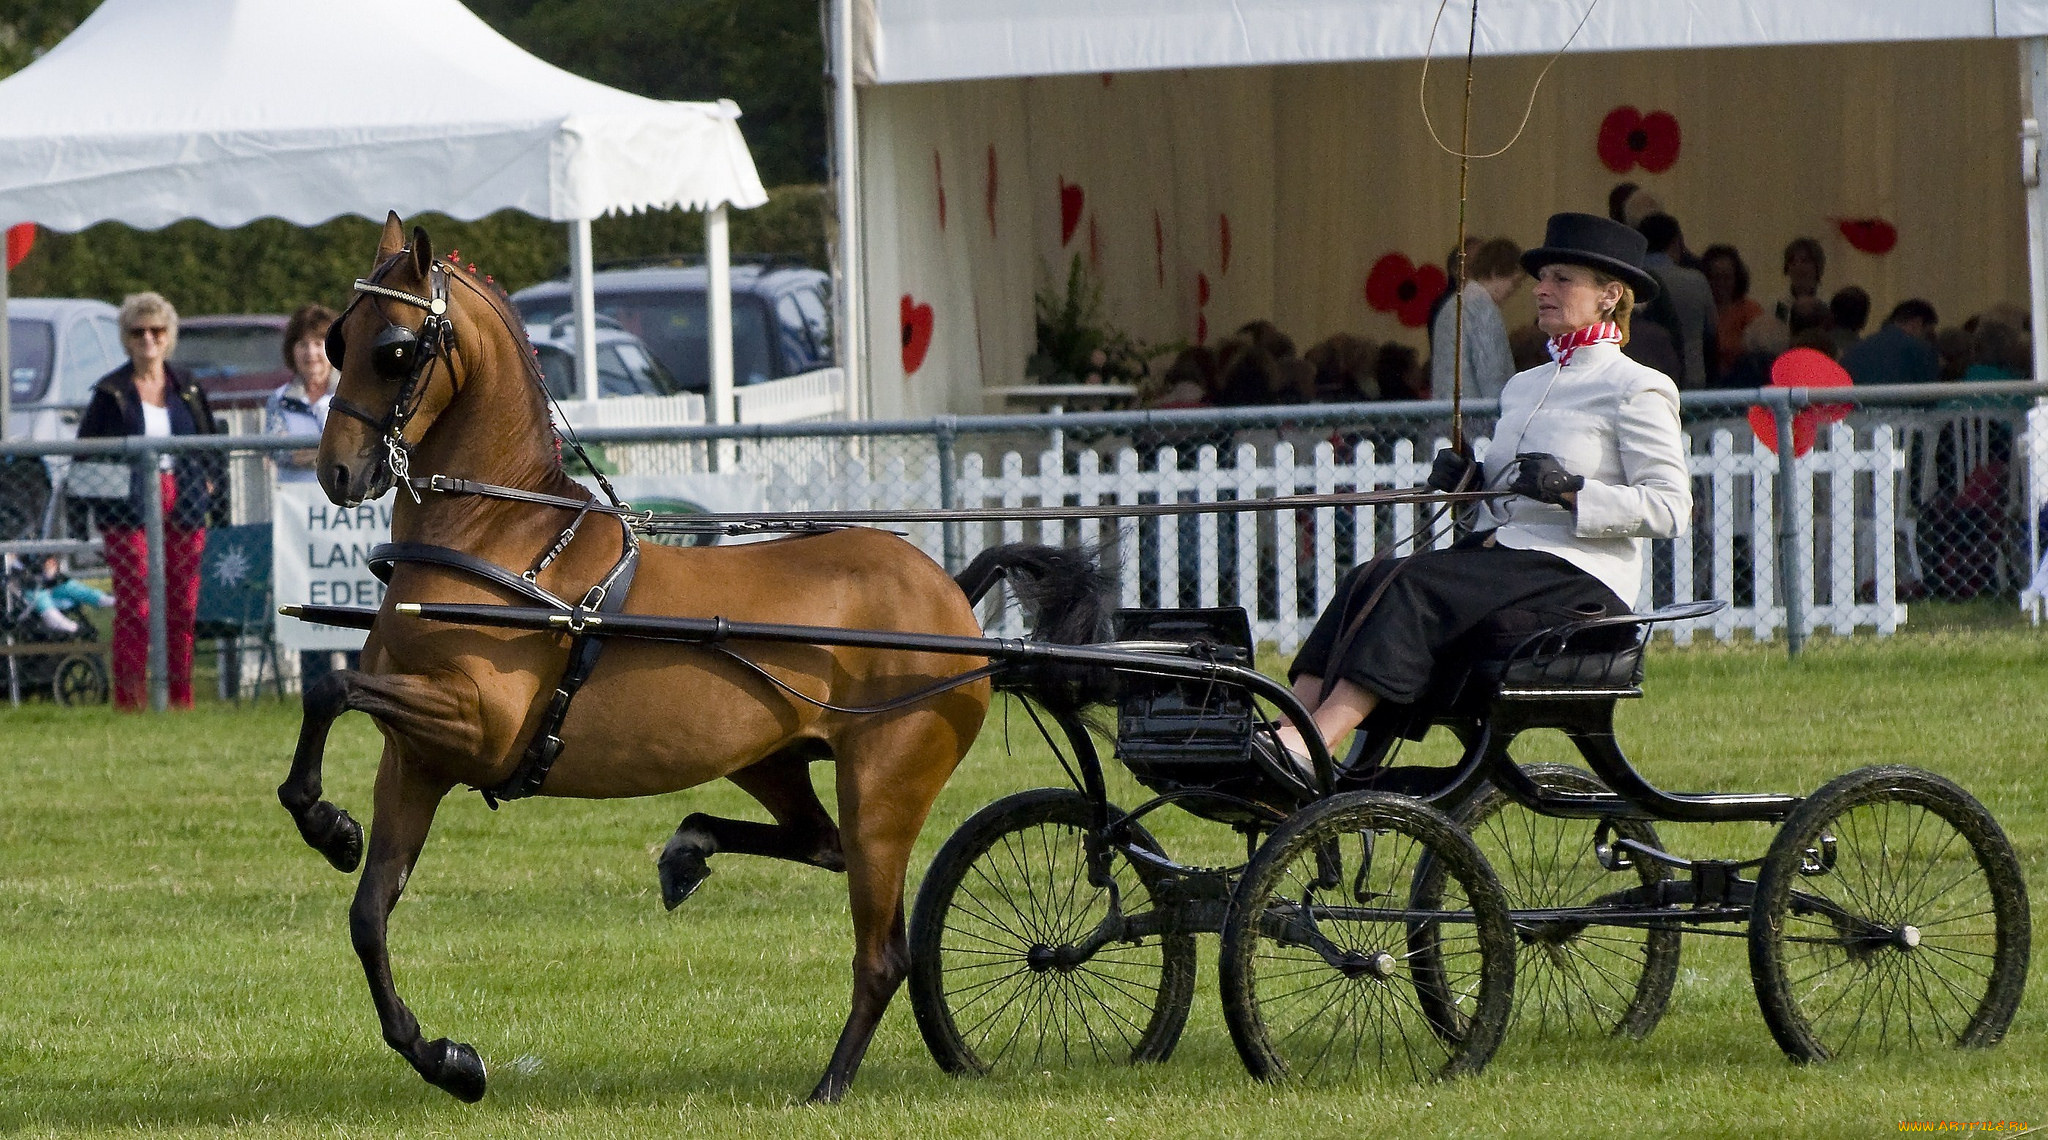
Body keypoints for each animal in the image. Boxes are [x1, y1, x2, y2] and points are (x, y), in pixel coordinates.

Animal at [282, 210, 1114, 1105]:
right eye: (336, 340)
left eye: (396, 349)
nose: (336, 472)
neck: (501, 542)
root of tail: (952, 596)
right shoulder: (418, 759)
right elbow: (369, 914)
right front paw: (445, 1057)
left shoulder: (479, 725)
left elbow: (332, 687)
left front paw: (327, 824)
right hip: (771, 760)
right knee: (818, 843)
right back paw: (689, 851)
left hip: (884, 787)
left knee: (882, 949)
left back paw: (827, 1086)